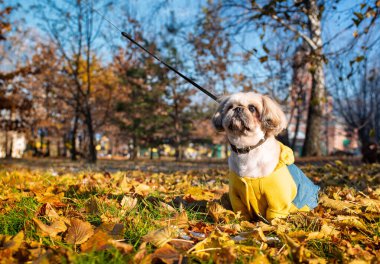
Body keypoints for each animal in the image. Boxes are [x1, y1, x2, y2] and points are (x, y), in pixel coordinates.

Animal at [212, 92, 320, 222]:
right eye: (229, 107)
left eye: (252, 108)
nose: (238, 108)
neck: (247, 149)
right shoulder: (236, 195)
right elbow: (241, 212)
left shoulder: (277, 197)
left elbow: (275, 215)